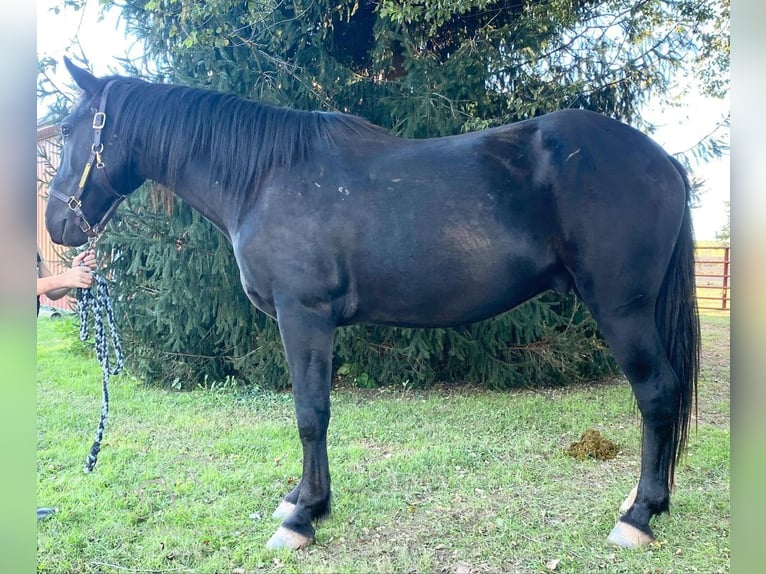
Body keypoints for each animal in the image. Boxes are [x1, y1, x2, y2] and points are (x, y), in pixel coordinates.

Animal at [45, 58, 700, 552]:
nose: (57, 225)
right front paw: (307, 499)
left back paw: (638, 515)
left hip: (622, 309)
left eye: (74, 127)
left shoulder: (303, 314)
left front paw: (302, 517)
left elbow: (310, 412)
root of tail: (664, 161)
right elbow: (315, 411)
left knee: (658, 393)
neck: (266, 178)